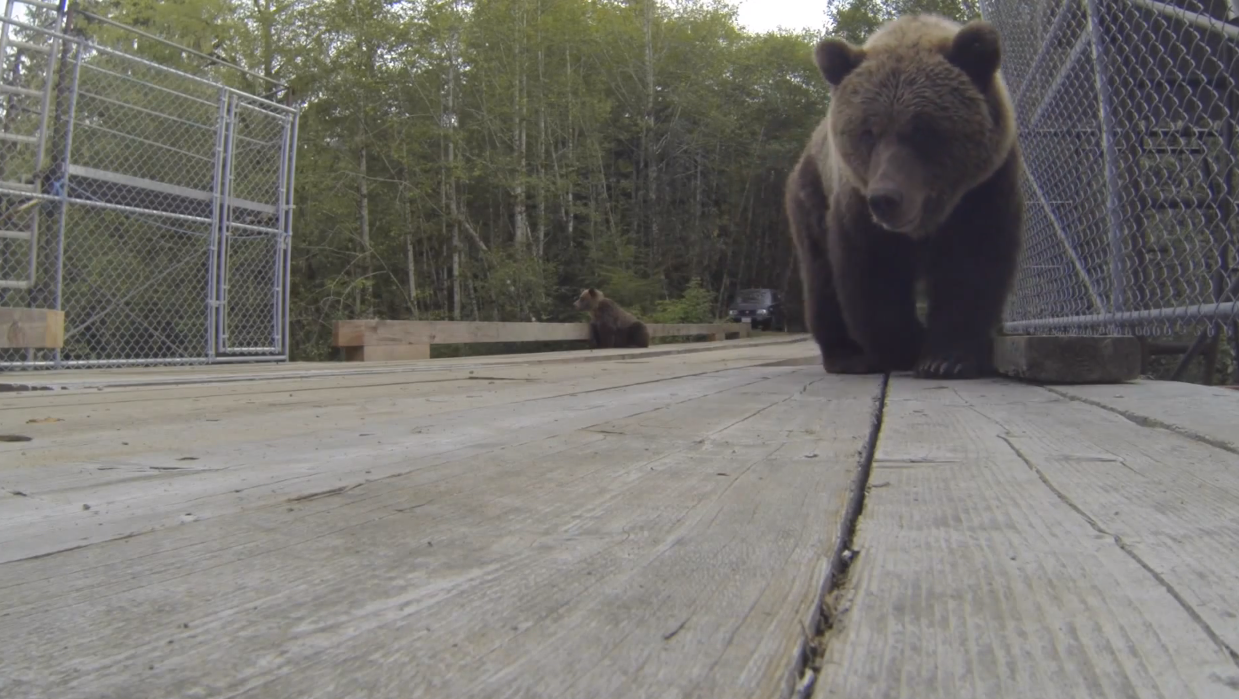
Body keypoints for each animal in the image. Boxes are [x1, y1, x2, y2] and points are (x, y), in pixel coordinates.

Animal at [785, 14, 1024, 379]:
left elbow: (972, 264)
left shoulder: (983, 189)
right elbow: (874, 273)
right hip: (810, 198)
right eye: (868, 132)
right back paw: (848, 356)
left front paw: (946, 357)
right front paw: (906, 346)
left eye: (922, 129)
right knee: (821, 280)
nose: (886, 198)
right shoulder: (857, 203)